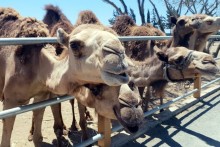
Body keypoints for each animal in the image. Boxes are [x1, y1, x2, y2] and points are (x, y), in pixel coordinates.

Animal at [0, 7, 129, 147]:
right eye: (74, 45)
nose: (118, 53)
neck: (36, 63)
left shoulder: (42, 95)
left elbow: (38, 137)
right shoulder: (10, 100)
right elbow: (6, 140)